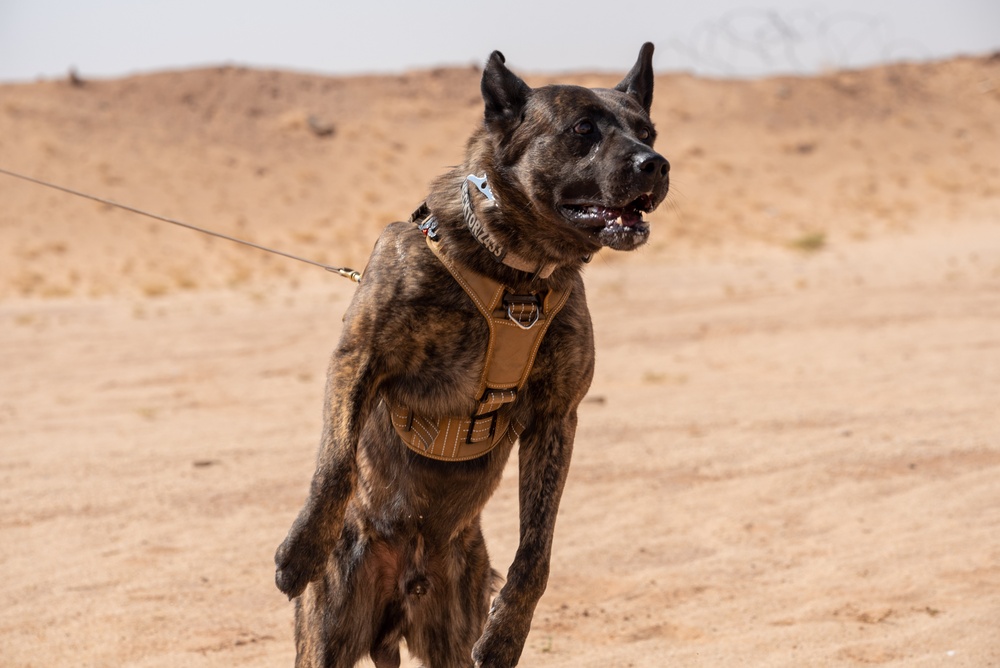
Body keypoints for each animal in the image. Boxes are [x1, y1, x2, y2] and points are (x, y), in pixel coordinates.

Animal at [274, 43, 672, 668]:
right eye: (583, 129)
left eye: (649, 131)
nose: (655, 164)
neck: (517, 275)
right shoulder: (357, 359)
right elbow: (335, 465)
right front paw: (300, 550)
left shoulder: (557, 420)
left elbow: (536, 553)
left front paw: (508, 631)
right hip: (328, 638)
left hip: (451, 622)